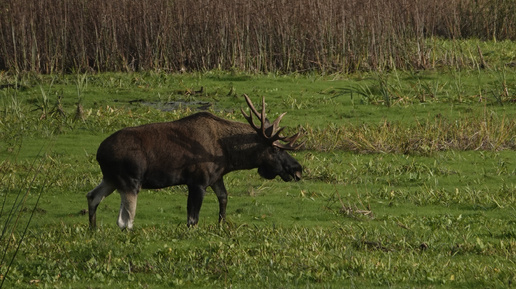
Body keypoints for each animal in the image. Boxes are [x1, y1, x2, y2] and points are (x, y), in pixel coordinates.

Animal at [84, 95, 302, 228]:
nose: (297, 169)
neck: (229, 154)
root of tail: (99, 153)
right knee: (125, 220)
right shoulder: (197, 182)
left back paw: (93, 230)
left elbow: (223, 200)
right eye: (275, 149)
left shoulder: (216, 178)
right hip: (130, 181)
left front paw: (221, 226)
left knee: (92, 196)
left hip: (110, 179)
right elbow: (192, 219)